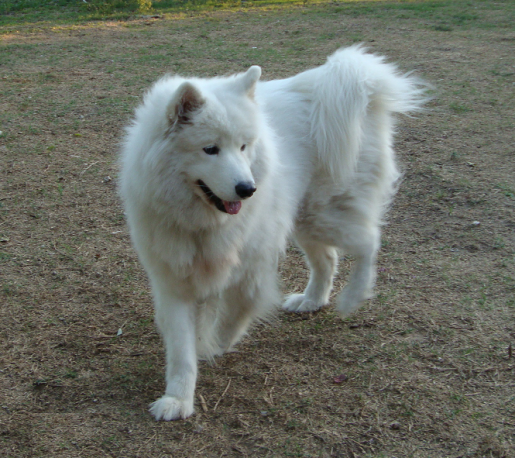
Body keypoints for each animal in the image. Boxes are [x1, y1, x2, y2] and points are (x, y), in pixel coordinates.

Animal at [120, 44, 428, 420]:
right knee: (328, 260)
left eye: (243, 147)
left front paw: (213, 345)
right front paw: (178, 398)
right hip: (305, 221)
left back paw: (354, 296)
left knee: (369, 241)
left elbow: (232, 317)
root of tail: (334, 83)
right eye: (210, 149)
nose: (247, 189)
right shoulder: (173, 280)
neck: (203, 222)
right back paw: (312, 300)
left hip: (325, 214)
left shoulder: (251, 269)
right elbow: (180, 350)